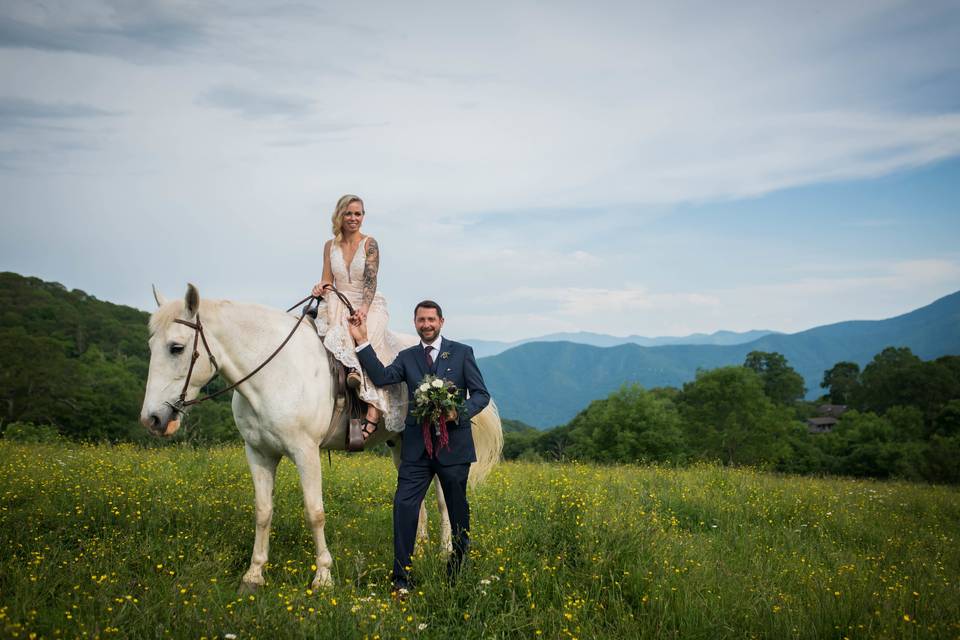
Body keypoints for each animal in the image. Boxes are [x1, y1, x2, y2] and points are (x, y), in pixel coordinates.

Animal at [142, 284, 506, 592]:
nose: (152, 419)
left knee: (445, 498)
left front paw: (323, 578)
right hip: (402, 446)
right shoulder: (258, 452)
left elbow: (314, 511)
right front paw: (254, 575)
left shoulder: (305, 451)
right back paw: (416, 549)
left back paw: (444, 552)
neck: (274, 372)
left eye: (176, 348)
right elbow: (263, 511)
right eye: (151, 346)